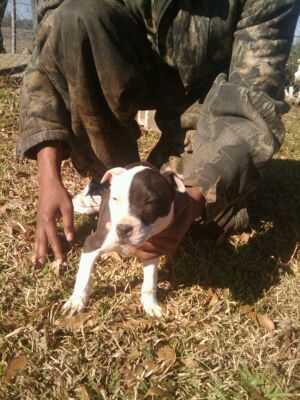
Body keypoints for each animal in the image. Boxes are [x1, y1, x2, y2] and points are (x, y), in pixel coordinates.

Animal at [63, 162, 185, 316]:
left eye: (151, 202)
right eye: (115, 199)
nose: (122, 229)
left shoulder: (152, 251)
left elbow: (150, 280)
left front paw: (150, 304)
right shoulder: (93, 243)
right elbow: (84, 276)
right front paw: (76, 301)